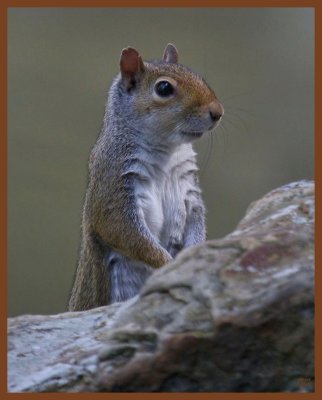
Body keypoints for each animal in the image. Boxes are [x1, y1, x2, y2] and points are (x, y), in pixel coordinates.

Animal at [68, 44, 224, 312]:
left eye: (198, 76)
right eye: (164, 88)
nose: (217, 112)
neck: (165, 151)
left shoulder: (189, 193)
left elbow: (196, 222)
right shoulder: (114, 188)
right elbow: (128, 235)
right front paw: (168, 265)